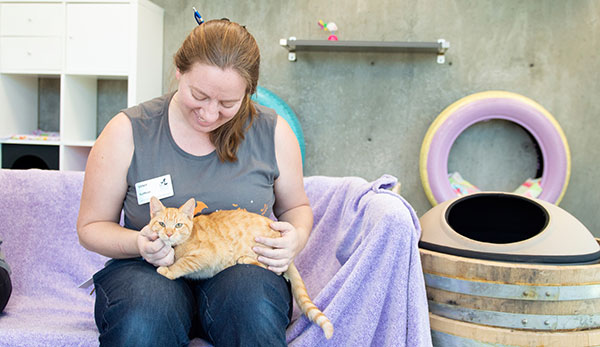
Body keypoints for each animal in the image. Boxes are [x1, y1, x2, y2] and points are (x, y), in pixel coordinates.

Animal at [144, 197, 336, 342]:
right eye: (162, 224)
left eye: (178, 225)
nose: (169, 233)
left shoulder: (207, 254)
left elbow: (183, 263)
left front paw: (169, 270)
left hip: (267, 254)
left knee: (275, 270)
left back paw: (244, 259)